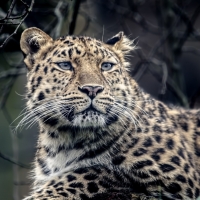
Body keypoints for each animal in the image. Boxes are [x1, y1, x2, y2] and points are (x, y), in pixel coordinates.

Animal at [19, 27, 200, 200]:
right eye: (65, 65)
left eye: (106, 66)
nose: (92, 89)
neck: (64, 139)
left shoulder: (177, 175)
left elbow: (91, 171)